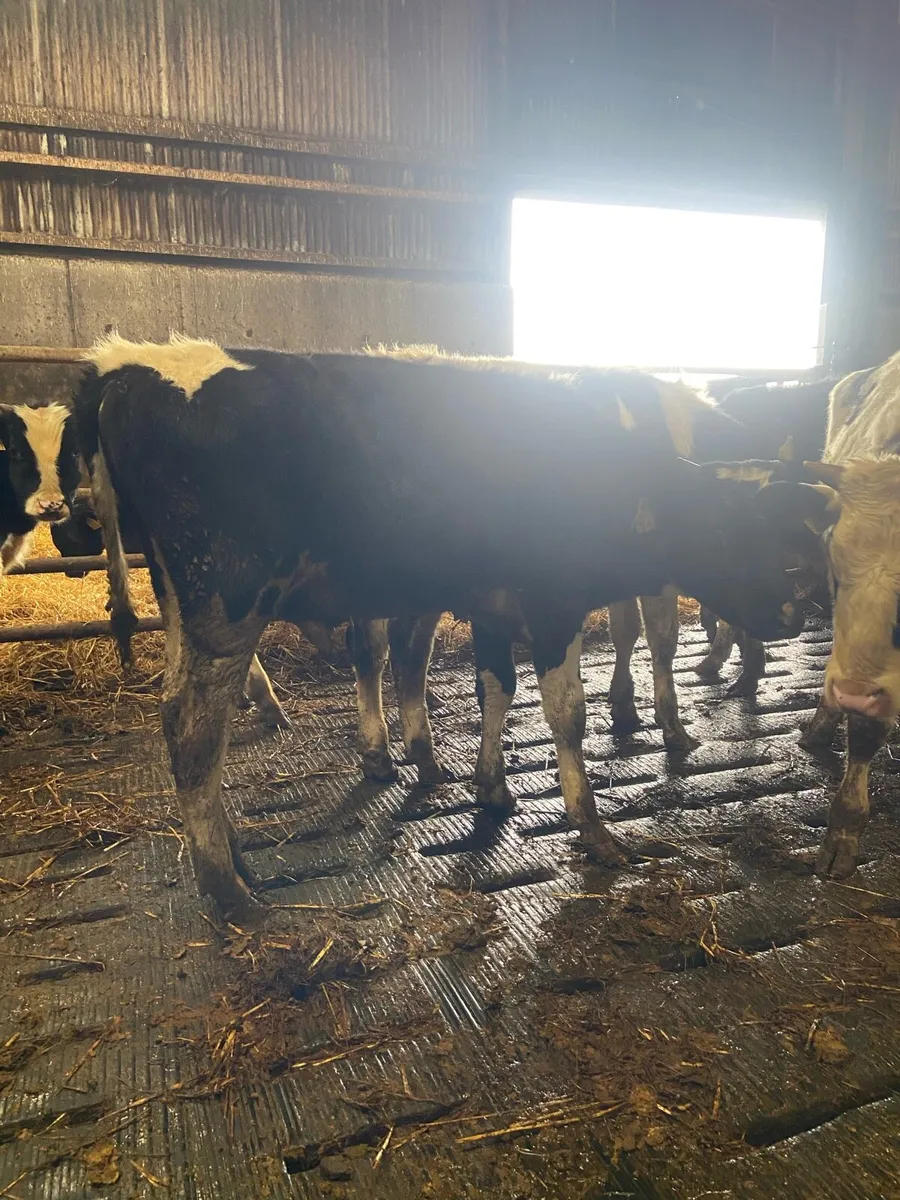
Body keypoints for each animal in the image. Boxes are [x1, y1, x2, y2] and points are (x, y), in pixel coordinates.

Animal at [74, 334, 829, 920]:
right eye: (743, 534)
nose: (797, 611)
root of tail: (125, 365)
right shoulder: (553, 598)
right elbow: (568, 712)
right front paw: (595, 826)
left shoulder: (494, 603)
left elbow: (497, 689)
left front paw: (492, 788)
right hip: (227, 605)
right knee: (193, 725)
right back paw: (228, 888)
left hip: (181, 602)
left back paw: (238, 852)